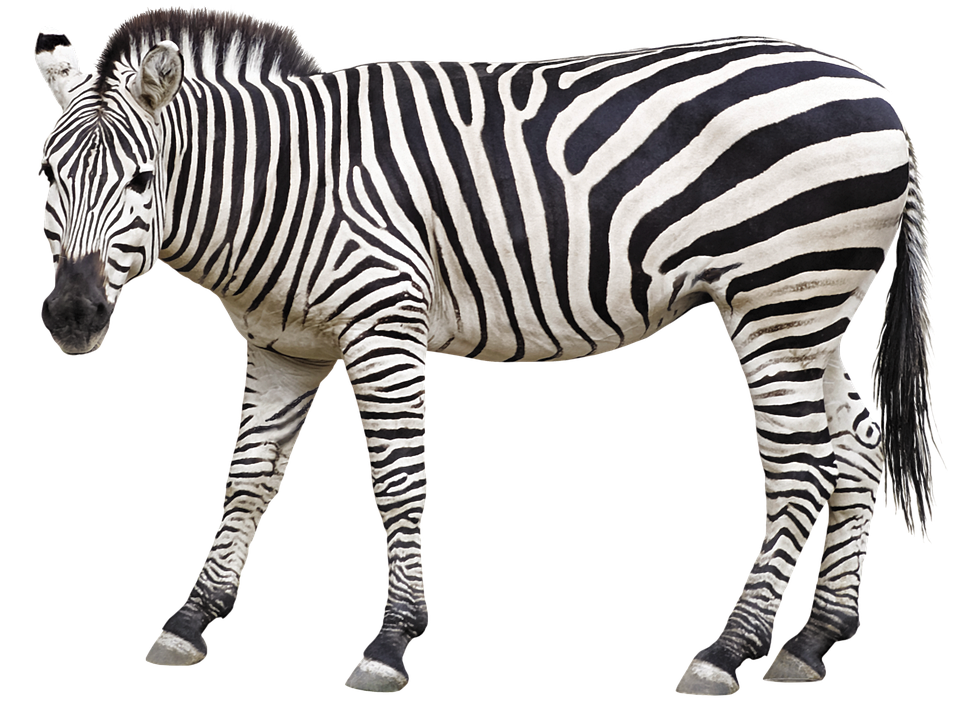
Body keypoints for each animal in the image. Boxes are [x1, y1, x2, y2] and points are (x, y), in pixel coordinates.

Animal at [34, 8, 944, 696]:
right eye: (45, 177)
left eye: (141, 182)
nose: (73, 317)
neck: (286, 188)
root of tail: (879, 91)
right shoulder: (284, 345)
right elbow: (247, 482)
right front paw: (191, 619)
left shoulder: (383, 317)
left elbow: (398, 482)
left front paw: (391, 640)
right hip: (813, 309)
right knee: (858, 450)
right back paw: (812, 640)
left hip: (776, 300)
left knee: (802, 467)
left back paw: (728, 649)